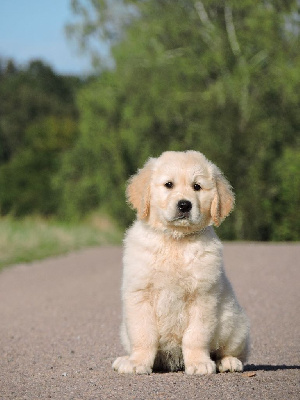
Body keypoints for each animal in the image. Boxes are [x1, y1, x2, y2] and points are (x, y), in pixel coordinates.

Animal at [112, 150, 248, 376]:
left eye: (197, 187)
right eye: (169, 185)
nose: (185, 204)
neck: (175, 240)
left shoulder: (203, 296)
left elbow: (195, 336)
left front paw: (199, 363)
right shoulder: (140, 294)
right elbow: (143, 335)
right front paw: (137, 362)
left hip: (235, 324)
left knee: (232, 351)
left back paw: (228, 362)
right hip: (124, 330)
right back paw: (126, 358)